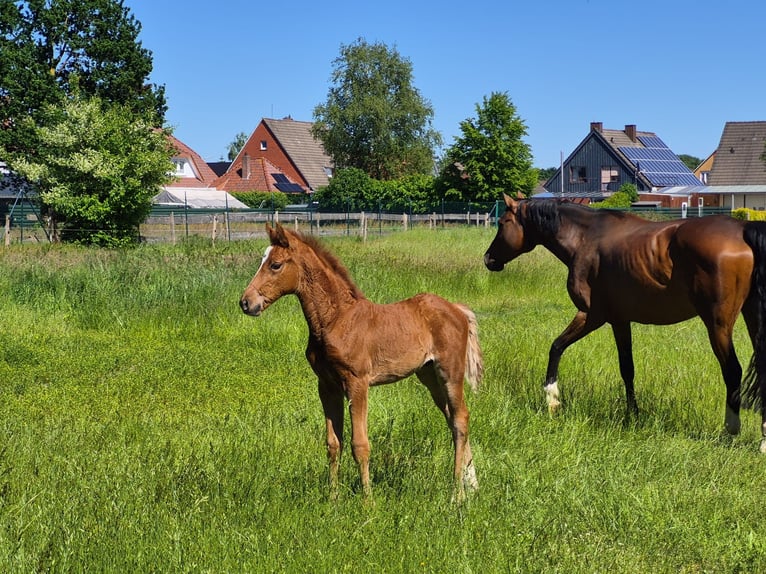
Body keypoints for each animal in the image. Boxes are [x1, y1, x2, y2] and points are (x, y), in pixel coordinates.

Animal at [240, 223, 484, 499]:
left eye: (275, 265)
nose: (246, 303)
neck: (336, 319)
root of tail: (457, 309)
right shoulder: (327, 386)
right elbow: (333, 443)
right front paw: (333, 497)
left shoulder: (357, 383)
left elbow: (360, 444)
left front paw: (368, 499)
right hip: (428, 375)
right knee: (453, 419)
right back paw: (471, 484)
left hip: (449, 372)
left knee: (461, 418)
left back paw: (457, 493)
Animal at [484, 193, 766, 452]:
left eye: (503, 222)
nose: (488, 259)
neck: (585, 238)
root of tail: (743, 230)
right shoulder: (620, 320)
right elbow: (627, 368)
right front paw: (633, 415)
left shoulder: (592, 315)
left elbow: (556, 347)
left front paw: (552, 399)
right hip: (752, 317)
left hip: (718, 324)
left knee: (732, 371)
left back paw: (730, 429)